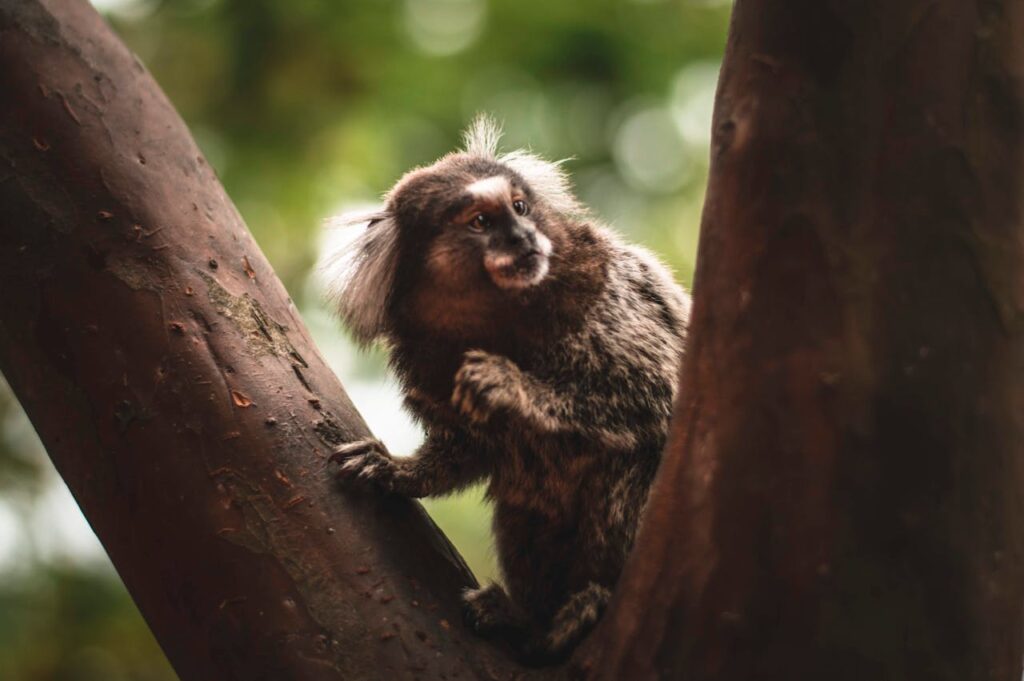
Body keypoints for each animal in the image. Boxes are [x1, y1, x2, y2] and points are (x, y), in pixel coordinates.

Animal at [321, 116, 690, 663]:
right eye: (480, 221)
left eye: (519, 208)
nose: (523, 236)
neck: (497, 316)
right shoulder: (425, 363)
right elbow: (466, 450)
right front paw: (397, 470)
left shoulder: (607, 295)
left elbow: (655, 396)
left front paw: (509, 386)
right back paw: (526, 618)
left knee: (629, 465)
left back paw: (591, 600)